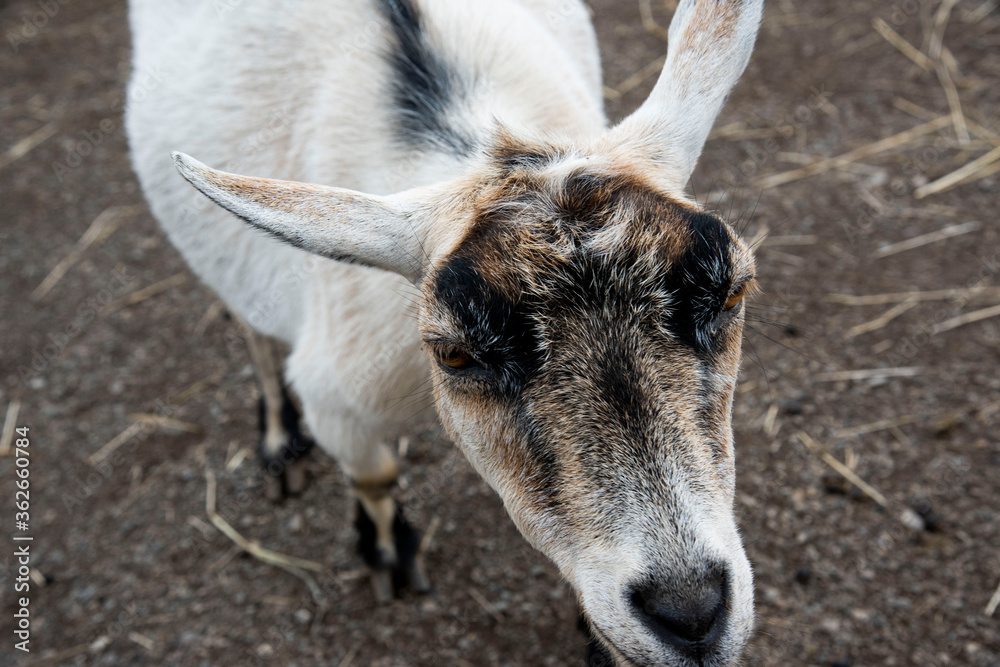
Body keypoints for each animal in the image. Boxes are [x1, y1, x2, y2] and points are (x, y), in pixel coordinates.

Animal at [127, 0, 764, 664]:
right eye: (456, 354)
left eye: (732, 293)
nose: (690, 613)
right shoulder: (336, 396)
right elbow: (374, 475)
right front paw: (387, 555)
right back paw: (280, 443)